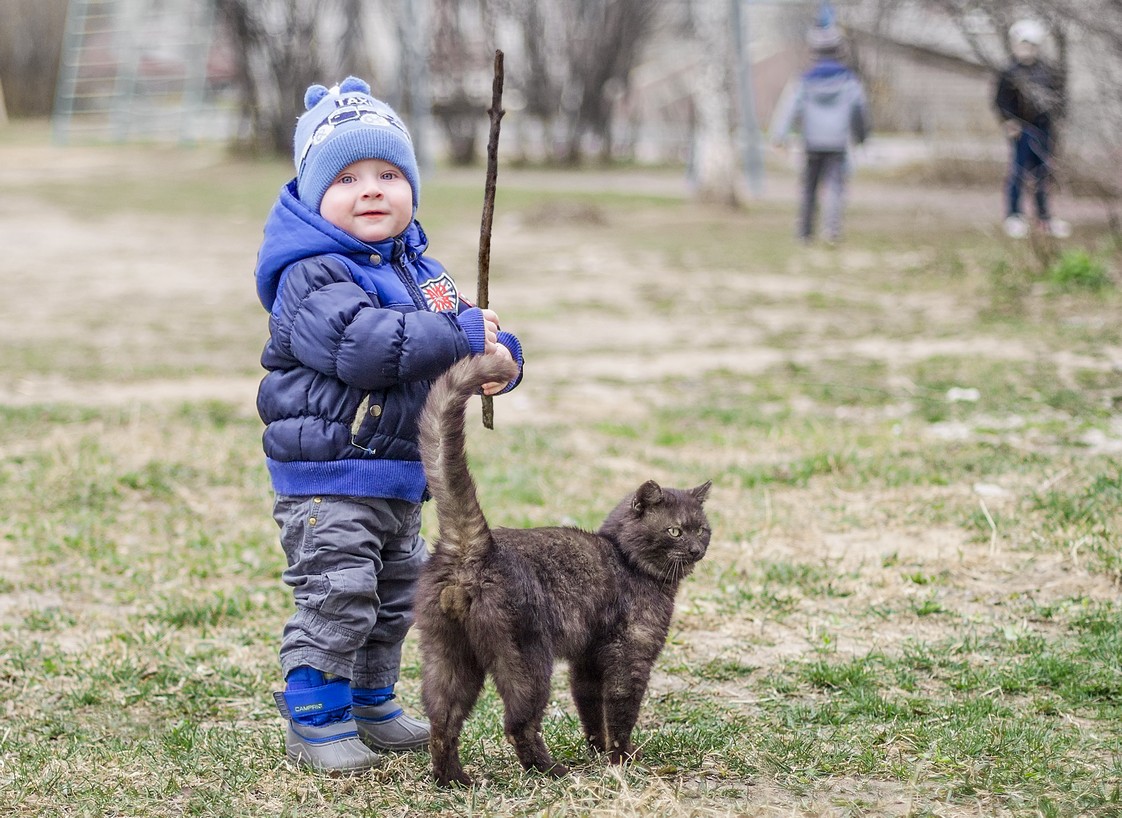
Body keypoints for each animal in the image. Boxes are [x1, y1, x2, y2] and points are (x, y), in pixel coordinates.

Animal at [412, 354, 709, 789]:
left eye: (702, 528)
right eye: (675, 530)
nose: (696, 548)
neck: (627, 560)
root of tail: (473, 546)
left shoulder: (587, 663)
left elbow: (591, 710)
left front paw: (600, 752)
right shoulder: (630, 658)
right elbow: (621, 712)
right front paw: (622, 758)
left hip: (448, 655)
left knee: (442, 722)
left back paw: (455, 780)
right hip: (528, 661)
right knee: (518, 724)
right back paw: (551, 771)